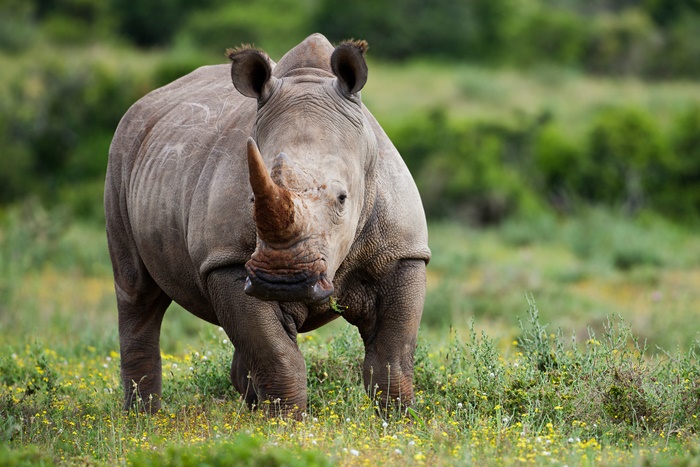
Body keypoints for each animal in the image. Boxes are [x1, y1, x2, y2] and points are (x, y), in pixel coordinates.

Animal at [104, 33, 432, 416]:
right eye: (251, 200)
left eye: (342, 198)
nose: (283, 281)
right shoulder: (227, 261)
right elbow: (276, 356)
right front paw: (287, 423)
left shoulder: (403, 252)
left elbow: (393, 355)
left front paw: (396, 420)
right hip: (120, 155)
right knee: (137, 293)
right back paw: (144, 421)